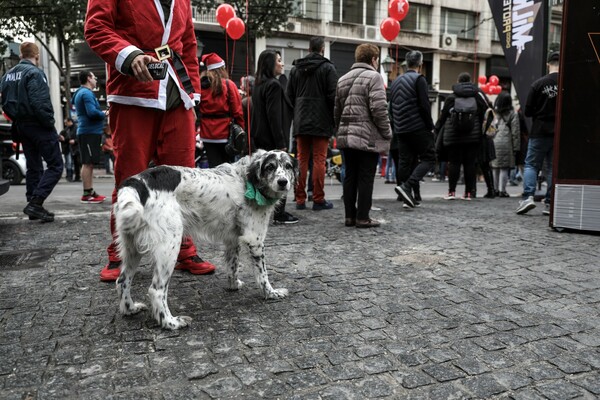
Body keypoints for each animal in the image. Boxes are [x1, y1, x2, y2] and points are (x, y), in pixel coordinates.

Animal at [112, 152, 298, 330]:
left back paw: (130, 309)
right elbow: (263, 275)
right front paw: (271, 293)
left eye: (288, 166)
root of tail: (137, 182)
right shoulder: (255, 238)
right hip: (169, 246)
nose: (283, 182)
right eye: (270, 167)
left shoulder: (232, 239)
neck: (247, 180)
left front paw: (233, 285)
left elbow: (233, 266)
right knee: (156, 291)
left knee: (122, 281)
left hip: (132, 247)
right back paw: (171, 323)